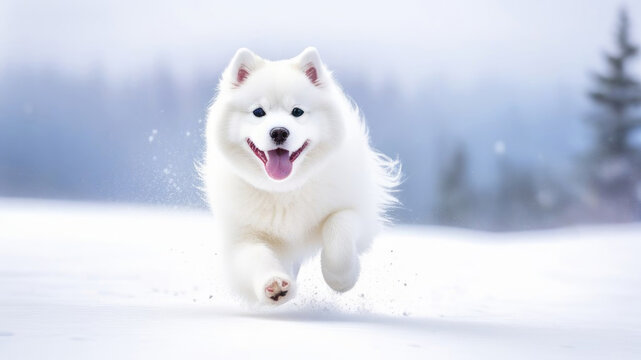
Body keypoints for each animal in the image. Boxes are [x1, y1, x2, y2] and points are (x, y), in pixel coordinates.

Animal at [202, 45, 398, 304]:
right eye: (258, 112)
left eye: (297, 111)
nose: (279, 132)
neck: (285, 189)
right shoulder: (243, 236)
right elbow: (256, 258)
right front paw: (274, 284)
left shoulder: (357, 211)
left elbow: (338, 229)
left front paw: (341, 278)